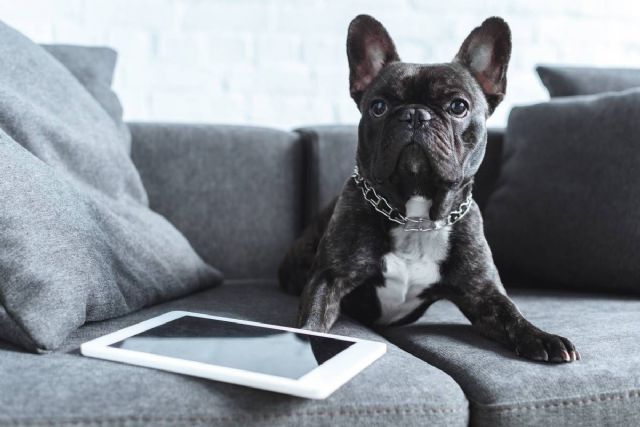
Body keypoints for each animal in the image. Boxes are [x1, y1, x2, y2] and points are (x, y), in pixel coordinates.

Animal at [278, 14, 576, 364]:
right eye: (378, 106)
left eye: (458, 106)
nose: (415, 113)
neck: (416, 214)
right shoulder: (329, 277)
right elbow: (312, 319)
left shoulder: (482, 292)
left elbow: (512, 315)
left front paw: (543, 337)